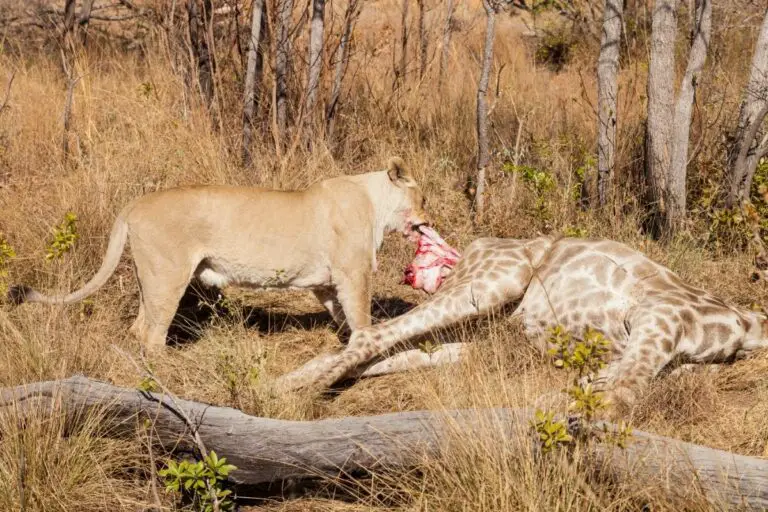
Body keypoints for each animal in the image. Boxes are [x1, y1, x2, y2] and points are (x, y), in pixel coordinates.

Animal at [9, 158, 428, 350]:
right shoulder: (353, 272)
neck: (374, 202)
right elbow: (362, 316)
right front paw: (368, 349)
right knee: (152, 334)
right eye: (421, 198)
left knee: (139, 327)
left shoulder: (326, 282)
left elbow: (342, 315)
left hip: (151, 278)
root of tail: (135, 204)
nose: (430, 217)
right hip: (169, 275)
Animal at [278, 234, 768, 406]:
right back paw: (299, 394)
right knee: (371, 335)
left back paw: (282, 384)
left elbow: (614, 381)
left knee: (383, 350)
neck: (748, 327)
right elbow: (626, 389)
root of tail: (472, 248)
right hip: (492, 283)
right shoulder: (660, 318)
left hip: (480, 340)